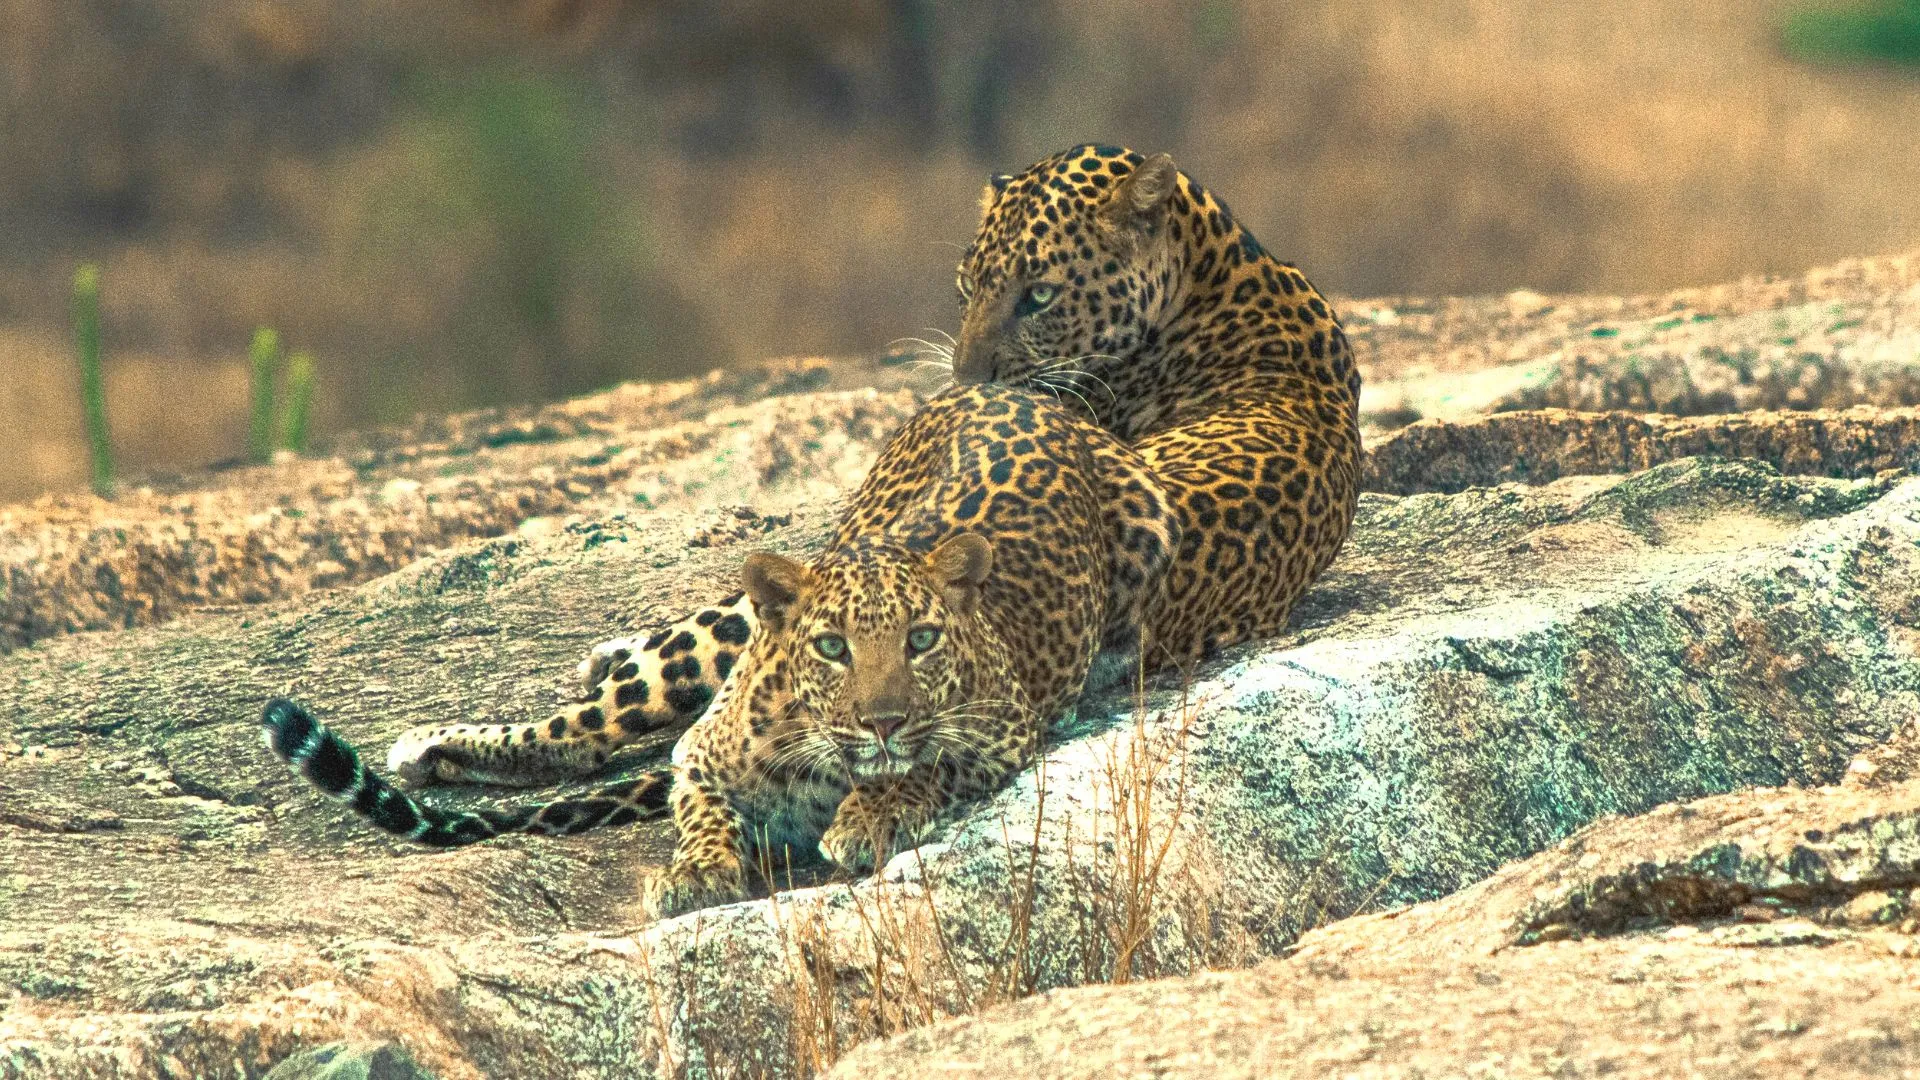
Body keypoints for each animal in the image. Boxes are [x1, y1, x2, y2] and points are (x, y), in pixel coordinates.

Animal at [262, 382, 1183, 917]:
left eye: (921, 641)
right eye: (832, 648)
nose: (883, 720)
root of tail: (1010, 392)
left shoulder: (1001, 728)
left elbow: (924, 764)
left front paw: (867, 814)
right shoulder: (703, 757)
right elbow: (699, 807)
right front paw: (700, 868)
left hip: (1152, 520)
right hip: (721, 630)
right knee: (584, 727)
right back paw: (455, 735)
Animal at [376, 143, 1361, 792]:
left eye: (1040, 295)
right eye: (967, 289)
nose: (963, 378)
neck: (1221, 267)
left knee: (596, 726)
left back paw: (437, 745)